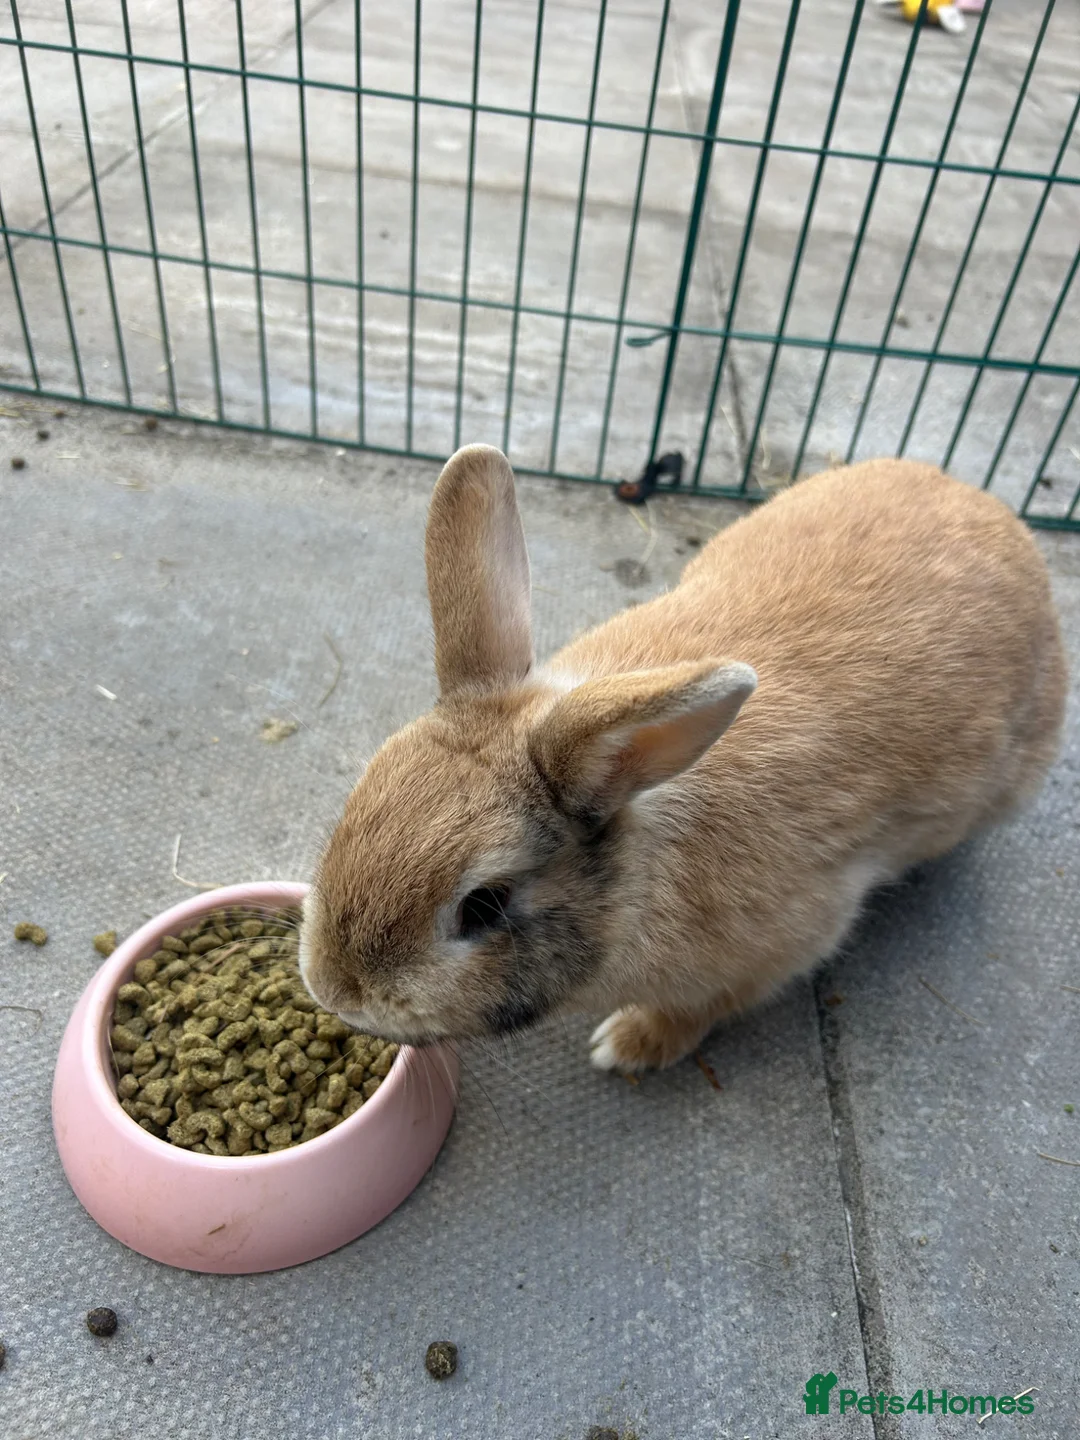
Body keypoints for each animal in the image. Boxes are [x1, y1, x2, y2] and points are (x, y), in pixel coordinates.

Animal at [299, 445, 1066, 1073]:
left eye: (483, 905)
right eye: (351, 808)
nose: (337, 993)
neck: (639, 869)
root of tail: (999, 516)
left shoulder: (785, 942)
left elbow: (703, 1007)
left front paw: (626, 1046)